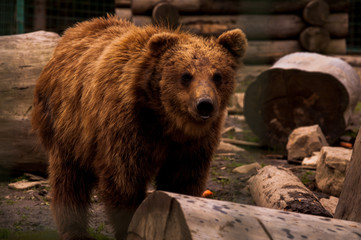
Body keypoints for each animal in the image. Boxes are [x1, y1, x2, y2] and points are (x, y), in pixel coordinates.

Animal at [31, 15, 245, 239]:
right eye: (186, 75)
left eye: (217, 75)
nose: (204, 104)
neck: (166, 119)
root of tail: (75, 30)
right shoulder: (127, 126)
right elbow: (123, 179)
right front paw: (129, 223)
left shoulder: (193, 144)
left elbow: (183, 178)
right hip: (68, 126)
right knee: (70, 181)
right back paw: (75, 231)